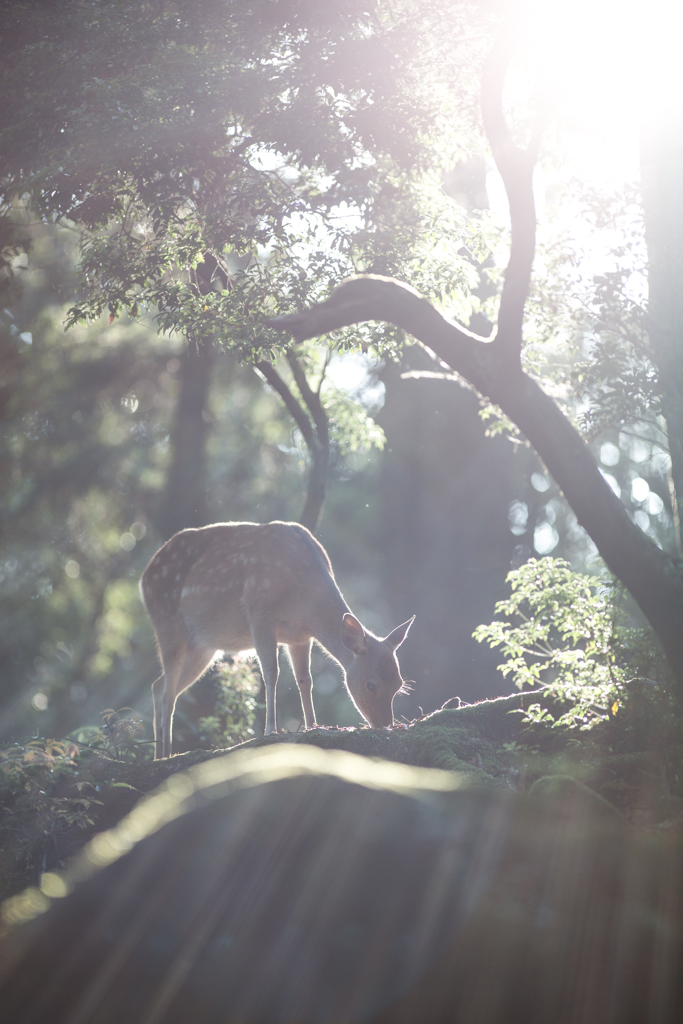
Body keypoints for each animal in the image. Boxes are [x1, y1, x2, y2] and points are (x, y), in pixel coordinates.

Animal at [141, 524, 413, 757]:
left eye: (399, 685)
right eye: (371, 685)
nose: (384, 725)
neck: (304, 599)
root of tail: (144, 578)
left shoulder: (300, 636)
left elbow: (305, 680)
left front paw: (314, 725)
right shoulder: (259, 615)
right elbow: (271, 673)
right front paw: (271, 729)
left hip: (204, 647)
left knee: (159, 685)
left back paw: (157, 753)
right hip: (167, 621)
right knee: (167, 692)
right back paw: (166, 752)